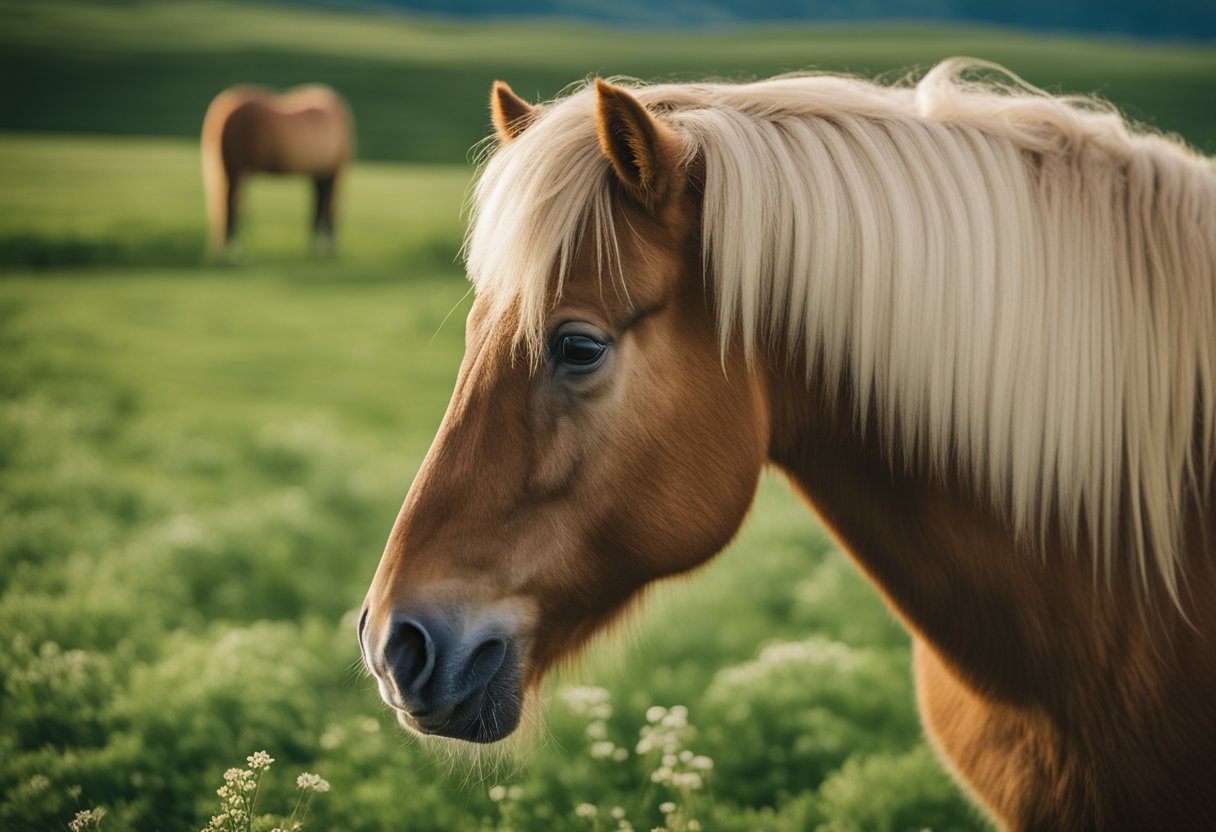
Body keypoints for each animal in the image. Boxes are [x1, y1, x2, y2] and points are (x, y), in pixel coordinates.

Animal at [199, 85, 352, 256]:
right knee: (231, 204)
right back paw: (232, 249)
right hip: (237, 171)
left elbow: (319, 206)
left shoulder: (323, 173)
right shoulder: (332, 173)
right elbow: (327, 206)